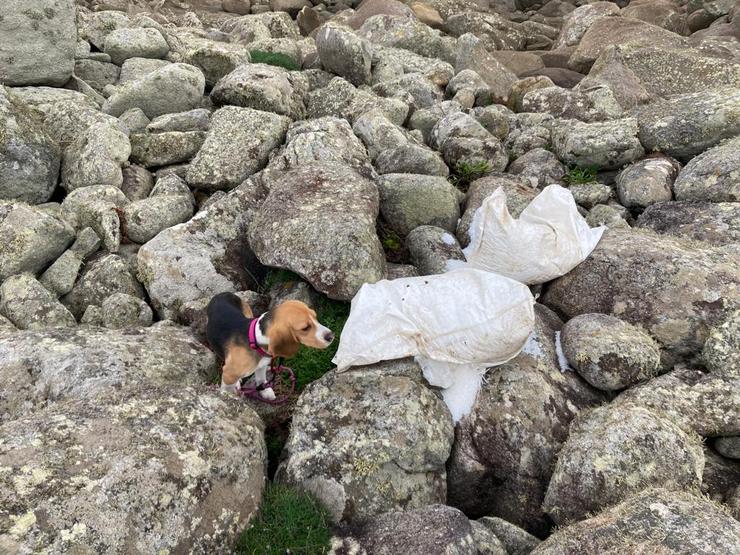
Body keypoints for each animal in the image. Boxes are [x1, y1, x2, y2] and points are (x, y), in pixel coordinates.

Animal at [204, 294, 334, 402]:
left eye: (315, 317)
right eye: (305, 328)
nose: (331, 336)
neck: (257, 341)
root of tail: (220, 294)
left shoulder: (262, 365)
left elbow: (261, 379)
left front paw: (265, 390)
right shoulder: (229, 373)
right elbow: (226, 390)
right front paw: (229, 398)